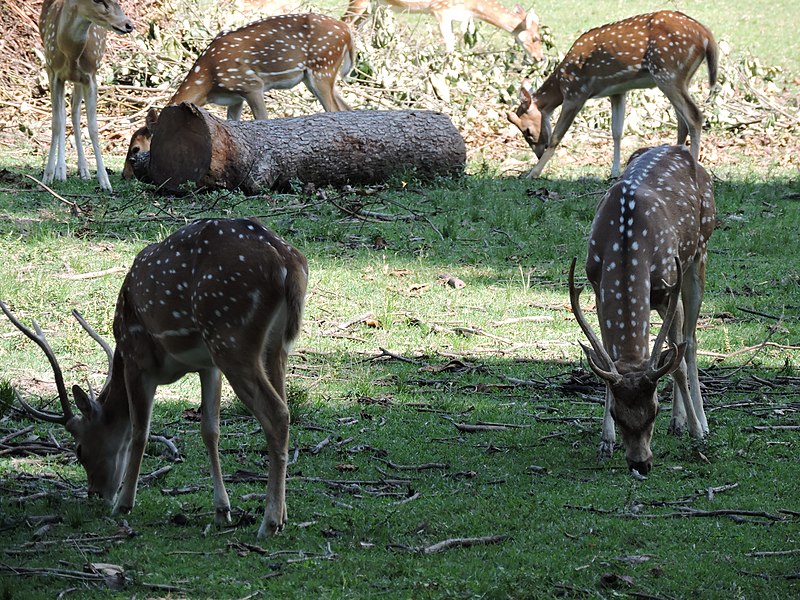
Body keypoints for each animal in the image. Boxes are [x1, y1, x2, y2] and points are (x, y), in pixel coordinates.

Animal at [1, 218, 310, 536]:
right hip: (273, 347)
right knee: (283, 406)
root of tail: (287, 262)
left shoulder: (138, 359)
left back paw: (269, 523)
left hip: (230, 335)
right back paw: (282, 515)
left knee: (277, 413)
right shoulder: (208, 366)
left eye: (79, 450)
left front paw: (123, 504)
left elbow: (140, 431)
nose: (95, 494)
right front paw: (222, 510)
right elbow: (210, 430)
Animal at [39, 0, 134, 191]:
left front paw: (104, 181)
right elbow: (56, 123)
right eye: (97, 1)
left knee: (74, 111)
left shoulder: (90, 76)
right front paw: (47, 176)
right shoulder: (54, 72)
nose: (129, 25)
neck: (70, 53)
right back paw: (60, 171)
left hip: (78, 79)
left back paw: (83, 170)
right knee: (63, 113)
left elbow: (93, 128)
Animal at [122, 12, 354, 178]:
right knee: (346, 108)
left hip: (322, 66)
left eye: (135, 149)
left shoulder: (251, 84)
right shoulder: (235, 99)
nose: (125, 175)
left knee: (333, 109)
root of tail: (347, 31)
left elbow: (262, 120)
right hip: (320, 75)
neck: (209, 80)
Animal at [506, 11, 720, 177]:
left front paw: (533, 173)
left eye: (527, 130)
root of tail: (706, 35)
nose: (538, 154)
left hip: (668, 72)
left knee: (694, 116)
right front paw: (615, 172)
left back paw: (692, 167)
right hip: (679, 78)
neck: (561, 83)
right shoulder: (618, 92)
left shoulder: (576, 93)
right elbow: (616, 132)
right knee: (682, 122)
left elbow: (557, 136)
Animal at [568, 145, 712, 474]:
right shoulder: (598, 287)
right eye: (618, 414)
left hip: (699, 252)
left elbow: (678, 361)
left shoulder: (668, 289)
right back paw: (678, 423)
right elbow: (608, 359)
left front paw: (696, 430)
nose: (640, 463)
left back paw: (700, 423)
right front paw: (605, 442)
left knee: (690, 342)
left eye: (654, 410)